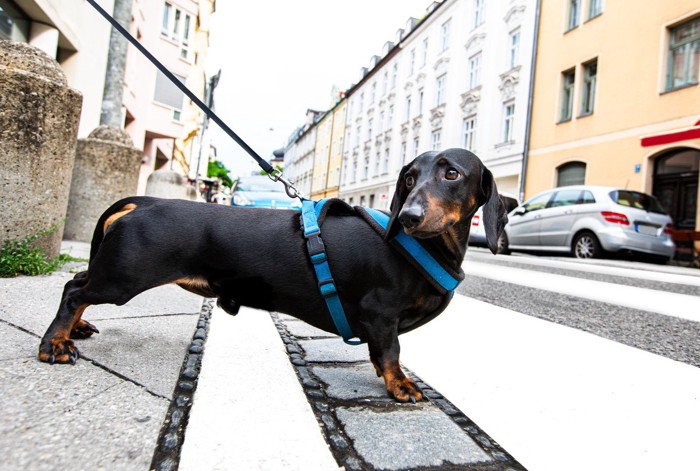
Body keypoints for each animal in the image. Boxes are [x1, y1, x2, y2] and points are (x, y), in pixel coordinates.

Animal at [38, 148, 506, 402]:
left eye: (451, 173)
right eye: (408, 178)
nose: (408, 216)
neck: (422, 248)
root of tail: (144, 201)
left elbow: (380, 354)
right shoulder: (381, 312)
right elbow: (390, 352)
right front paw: (401, 384)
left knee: (81, 288)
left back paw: (74, 330)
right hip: (123, 278)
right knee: (74, 288)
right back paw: (56, 344)